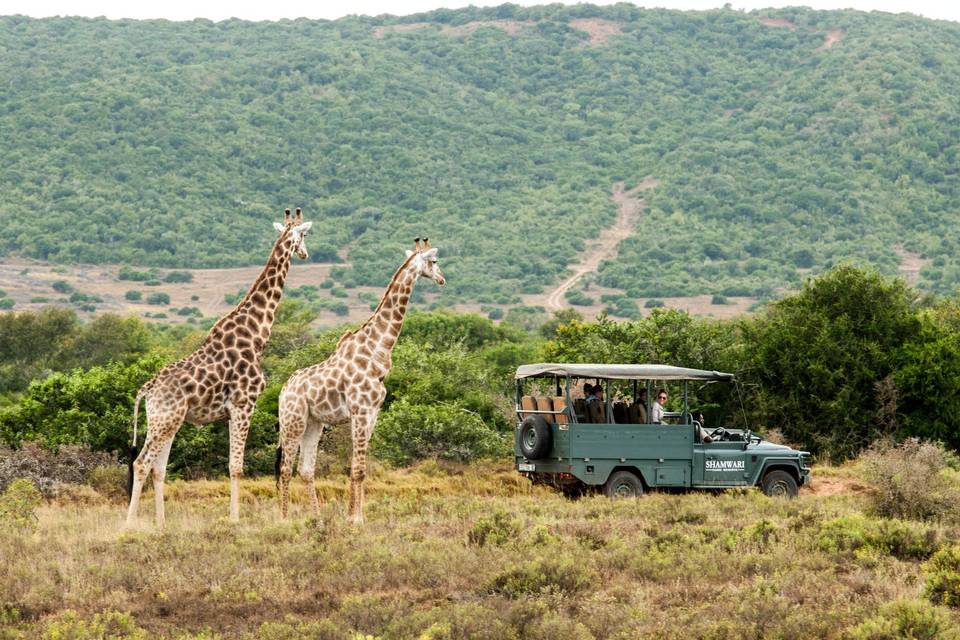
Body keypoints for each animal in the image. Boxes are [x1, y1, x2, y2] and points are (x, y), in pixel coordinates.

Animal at [125, 209, 314, 524]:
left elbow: (232, 464)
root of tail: (147, 389)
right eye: (305, 235)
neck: (256, 334)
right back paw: (129, 524)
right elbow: (236, 466)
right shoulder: (243, 404)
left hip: (166, 421)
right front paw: (235, 519)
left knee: (157, 467)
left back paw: (161, 523)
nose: (305, 254)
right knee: (141, 463)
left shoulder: (230, 411)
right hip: (165, 420)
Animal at [276, 238, 444, 524]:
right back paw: (285, 518)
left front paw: (355, 515)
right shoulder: (360, 410)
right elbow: (357, 468)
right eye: (434, 261)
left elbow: (360, 466)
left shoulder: (372, 413)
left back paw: (317, 518)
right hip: (292, 420)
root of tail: (282, 391)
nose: (442, 279)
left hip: (313, 423)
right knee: (286, 468)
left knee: (305, 469)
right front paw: (355, 518)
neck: (378, 350)